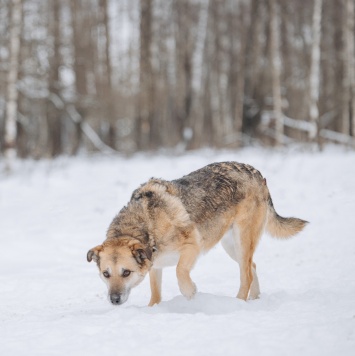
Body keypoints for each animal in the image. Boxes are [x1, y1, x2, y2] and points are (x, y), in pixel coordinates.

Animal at [87, 161, 308, 306]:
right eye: (106, 274)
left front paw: (190, 293)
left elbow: (180, 272)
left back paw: (238, 303)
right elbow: (155, 294)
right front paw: (153, 309)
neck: (147, 224)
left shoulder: (192, 247)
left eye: (126, 272)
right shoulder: (155, 265)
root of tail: (257, 173)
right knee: (252, 266)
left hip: (242, 240)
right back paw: (254, 300)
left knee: (245, 274)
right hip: (231, 246)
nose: (114, 300)